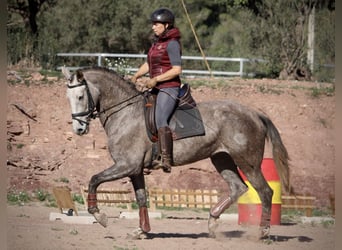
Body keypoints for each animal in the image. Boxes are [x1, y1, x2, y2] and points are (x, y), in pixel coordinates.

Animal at [62, 66, 292, 240]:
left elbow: (94, 179)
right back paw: (212, 222)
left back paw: (262, 232)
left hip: (248, 163)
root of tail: (255, 114)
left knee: (265, 192)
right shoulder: (134, 170)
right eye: (68, 98)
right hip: (221, 159)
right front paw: (142, 231)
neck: (125, 114)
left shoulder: (126, 165)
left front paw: (99, 216)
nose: (79, 129)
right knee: (238, 187)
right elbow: (141, 198)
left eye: (80, 96)